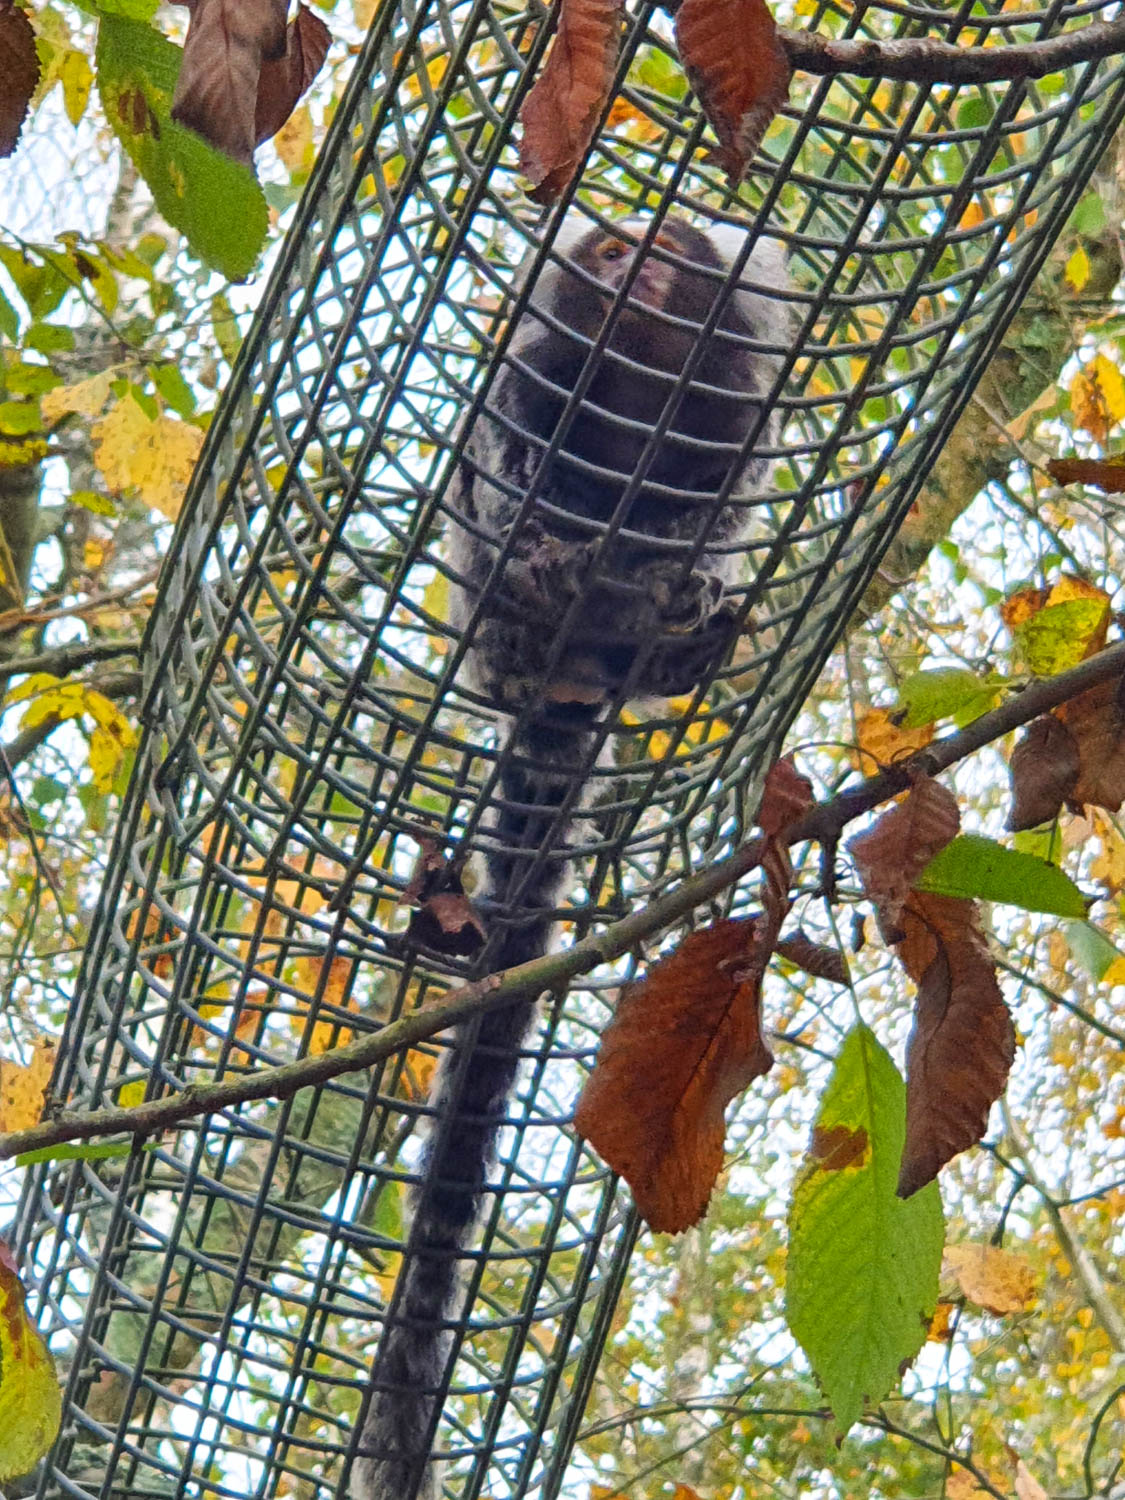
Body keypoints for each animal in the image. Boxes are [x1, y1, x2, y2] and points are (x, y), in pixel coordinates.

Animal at [350, 211, 789, 1500]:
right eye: (604, 248)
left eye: (668, 247)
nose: (629, 269)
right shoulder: (534, 388)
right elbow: (499, 465)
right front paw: (542, 541)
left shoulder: (734, 405)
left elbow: (714, 512)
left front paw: (682, 567)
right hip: (495, 636)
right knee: (505, 592)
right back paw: (548, 601)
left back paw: (669, 635)